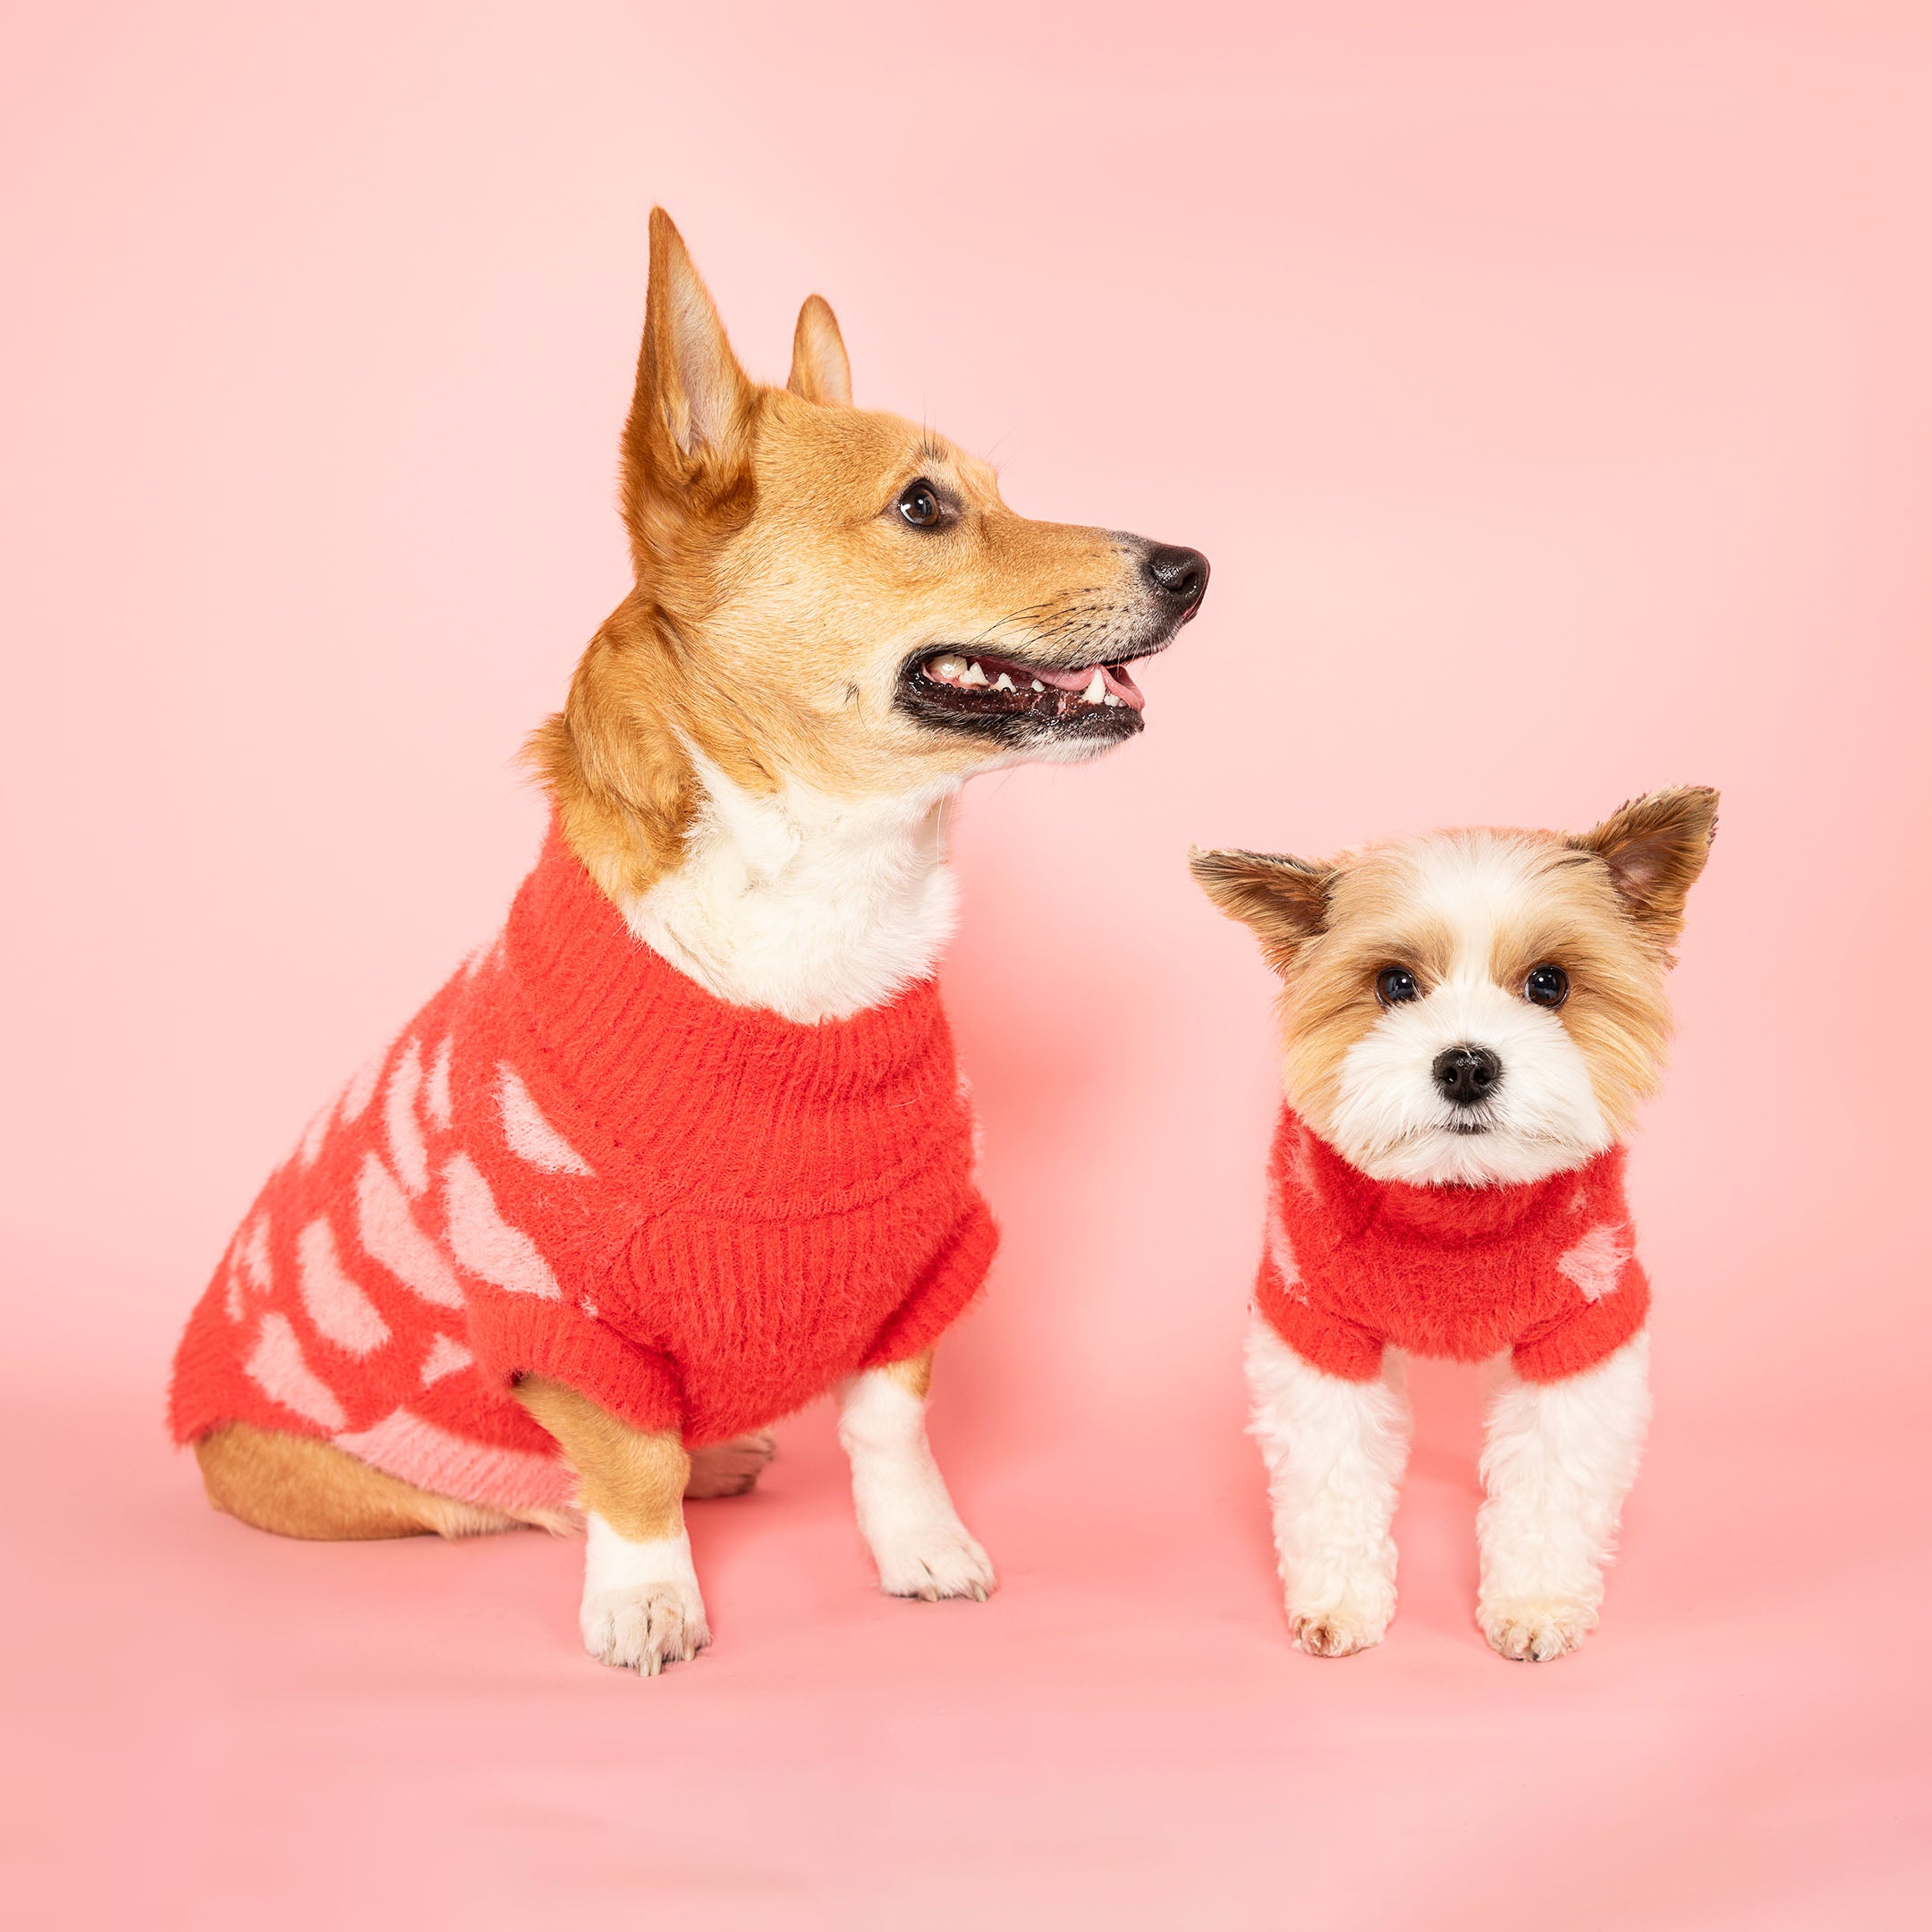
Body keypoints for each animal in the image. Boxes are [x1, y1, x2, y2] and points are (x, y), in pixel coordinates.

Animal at [1190, 784, 1723, 1661]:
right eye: (1395, 984)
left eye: (1549, 983)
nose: (1467, 1063)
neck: (1457, 1198)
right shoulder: (1317, 1326)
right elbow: (1333, 1481)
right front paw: (1340, 1602)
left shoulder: (1583, 1326)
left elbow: (1550, 1488)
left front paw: (1535, 1603)